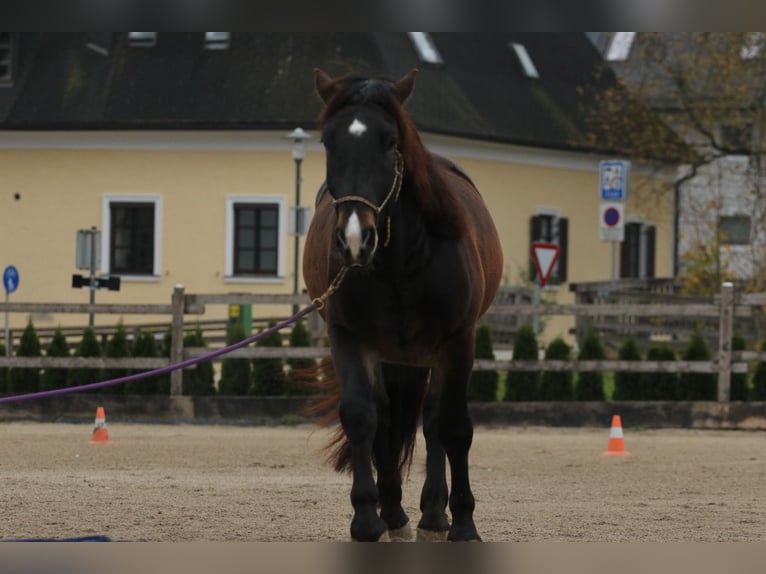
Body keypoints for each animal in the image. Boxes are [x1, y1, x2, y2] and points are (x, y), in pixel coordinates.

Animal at [302, 68, 503, 542]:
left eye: (391, 141)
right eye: (327, 142)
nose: (354, 240)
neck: (400, 262)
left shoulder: (458, 343)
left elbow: (454, 428)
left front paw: (463, 522)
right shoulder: (350, 340)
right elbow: (364, 418)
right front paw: (367, 518)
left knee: (432, 422)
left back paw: (434, 513)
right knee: (389, 419)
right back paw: (394, 512)